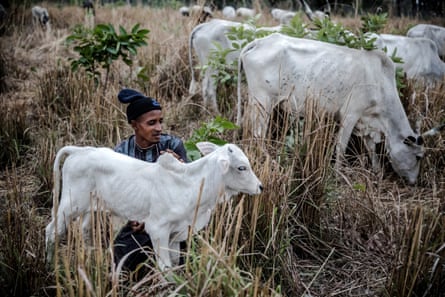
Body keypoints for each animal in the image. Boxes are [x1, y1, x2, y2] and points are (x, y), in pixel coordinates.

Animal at [45, 142, 262, 270]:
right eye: (241, 167)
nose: (260, 187)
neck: (190, 185)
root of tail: (80, 151)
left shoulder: (176, 233)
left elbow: (174, 264)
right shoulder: (158, 230)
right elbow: (165, 268)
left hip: (90, 207)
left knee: (84, 230)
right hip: (69, 205)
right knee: (52, 231)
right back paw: (49, 265)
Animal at [236, 33, 440, 184]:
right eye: (418, 156)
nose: (414, 182)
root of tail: (260, 41)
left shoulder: (366, 121)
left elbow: (371, 149)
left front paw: (376, 171)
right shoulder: (350, 115)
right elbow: (341, 147)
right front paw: (337, 175)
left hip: (255, 101)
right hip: (263, 101)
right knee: (258, 134)